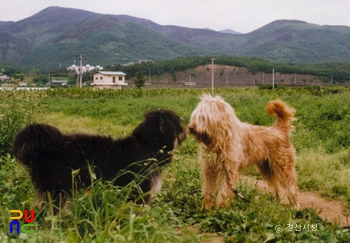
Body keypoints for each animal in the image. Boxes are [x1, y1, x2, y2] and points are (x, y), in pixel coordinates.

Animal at [13, 109, 186, 209]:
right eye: (177, 121)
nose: (186, 131)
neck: (147, 144)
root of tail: (38, 151)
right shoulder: (139, 189)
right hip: (58, 187)